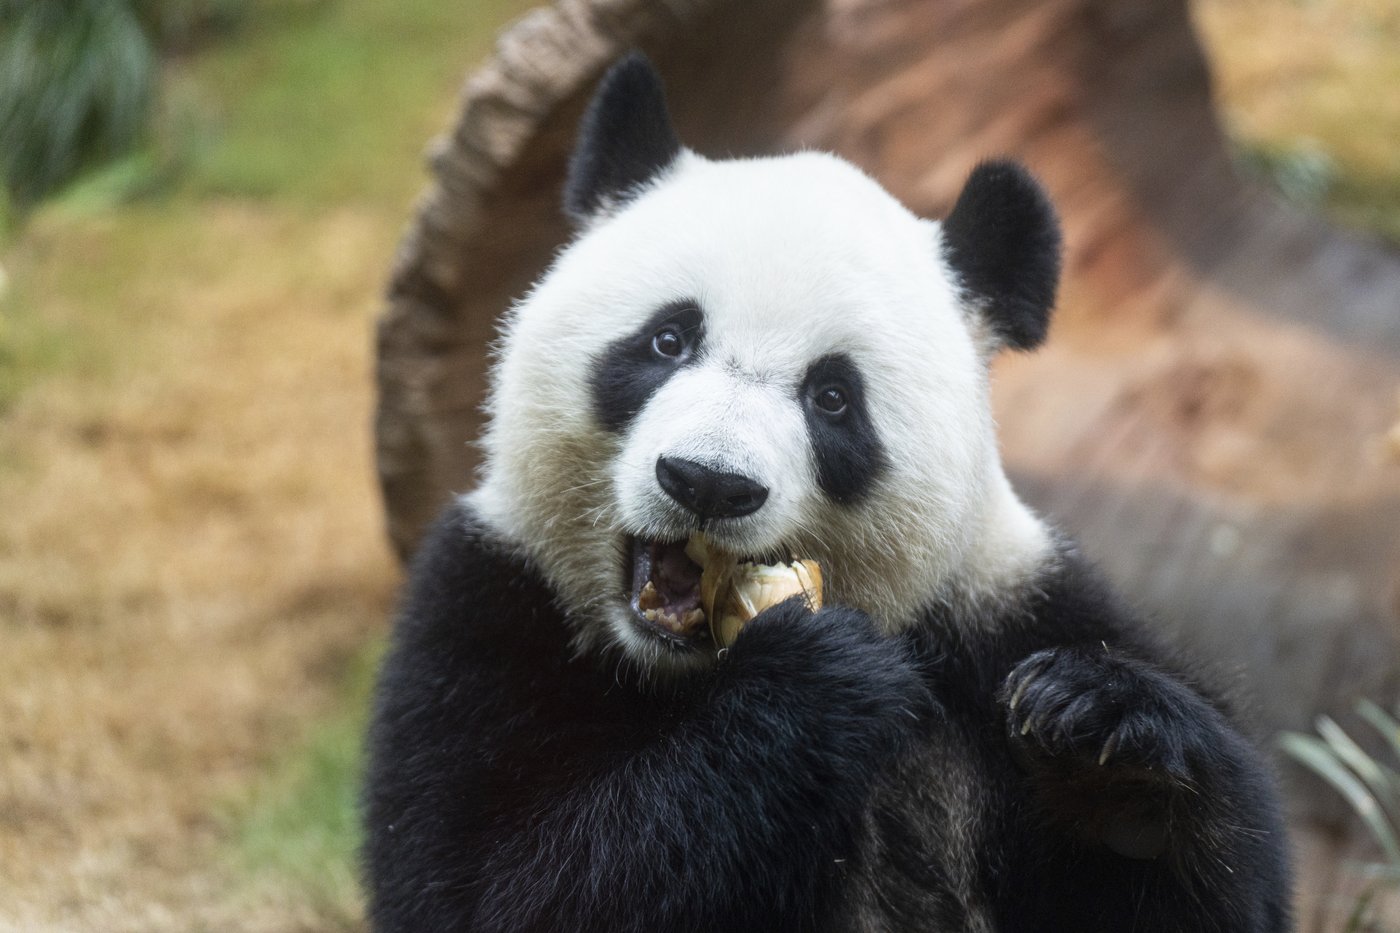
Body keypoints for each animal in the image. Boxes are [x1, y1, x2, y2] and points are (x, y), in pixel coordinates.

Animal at [365, 54, 1292, 932]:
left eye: (833, 397)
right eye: (668, 339)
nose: (709, 481)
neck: (682, 675)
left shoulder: (1007, 610)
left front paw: (1105, 735)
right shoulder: (482, 613)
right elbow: (495, 888)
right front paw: (817, 683)